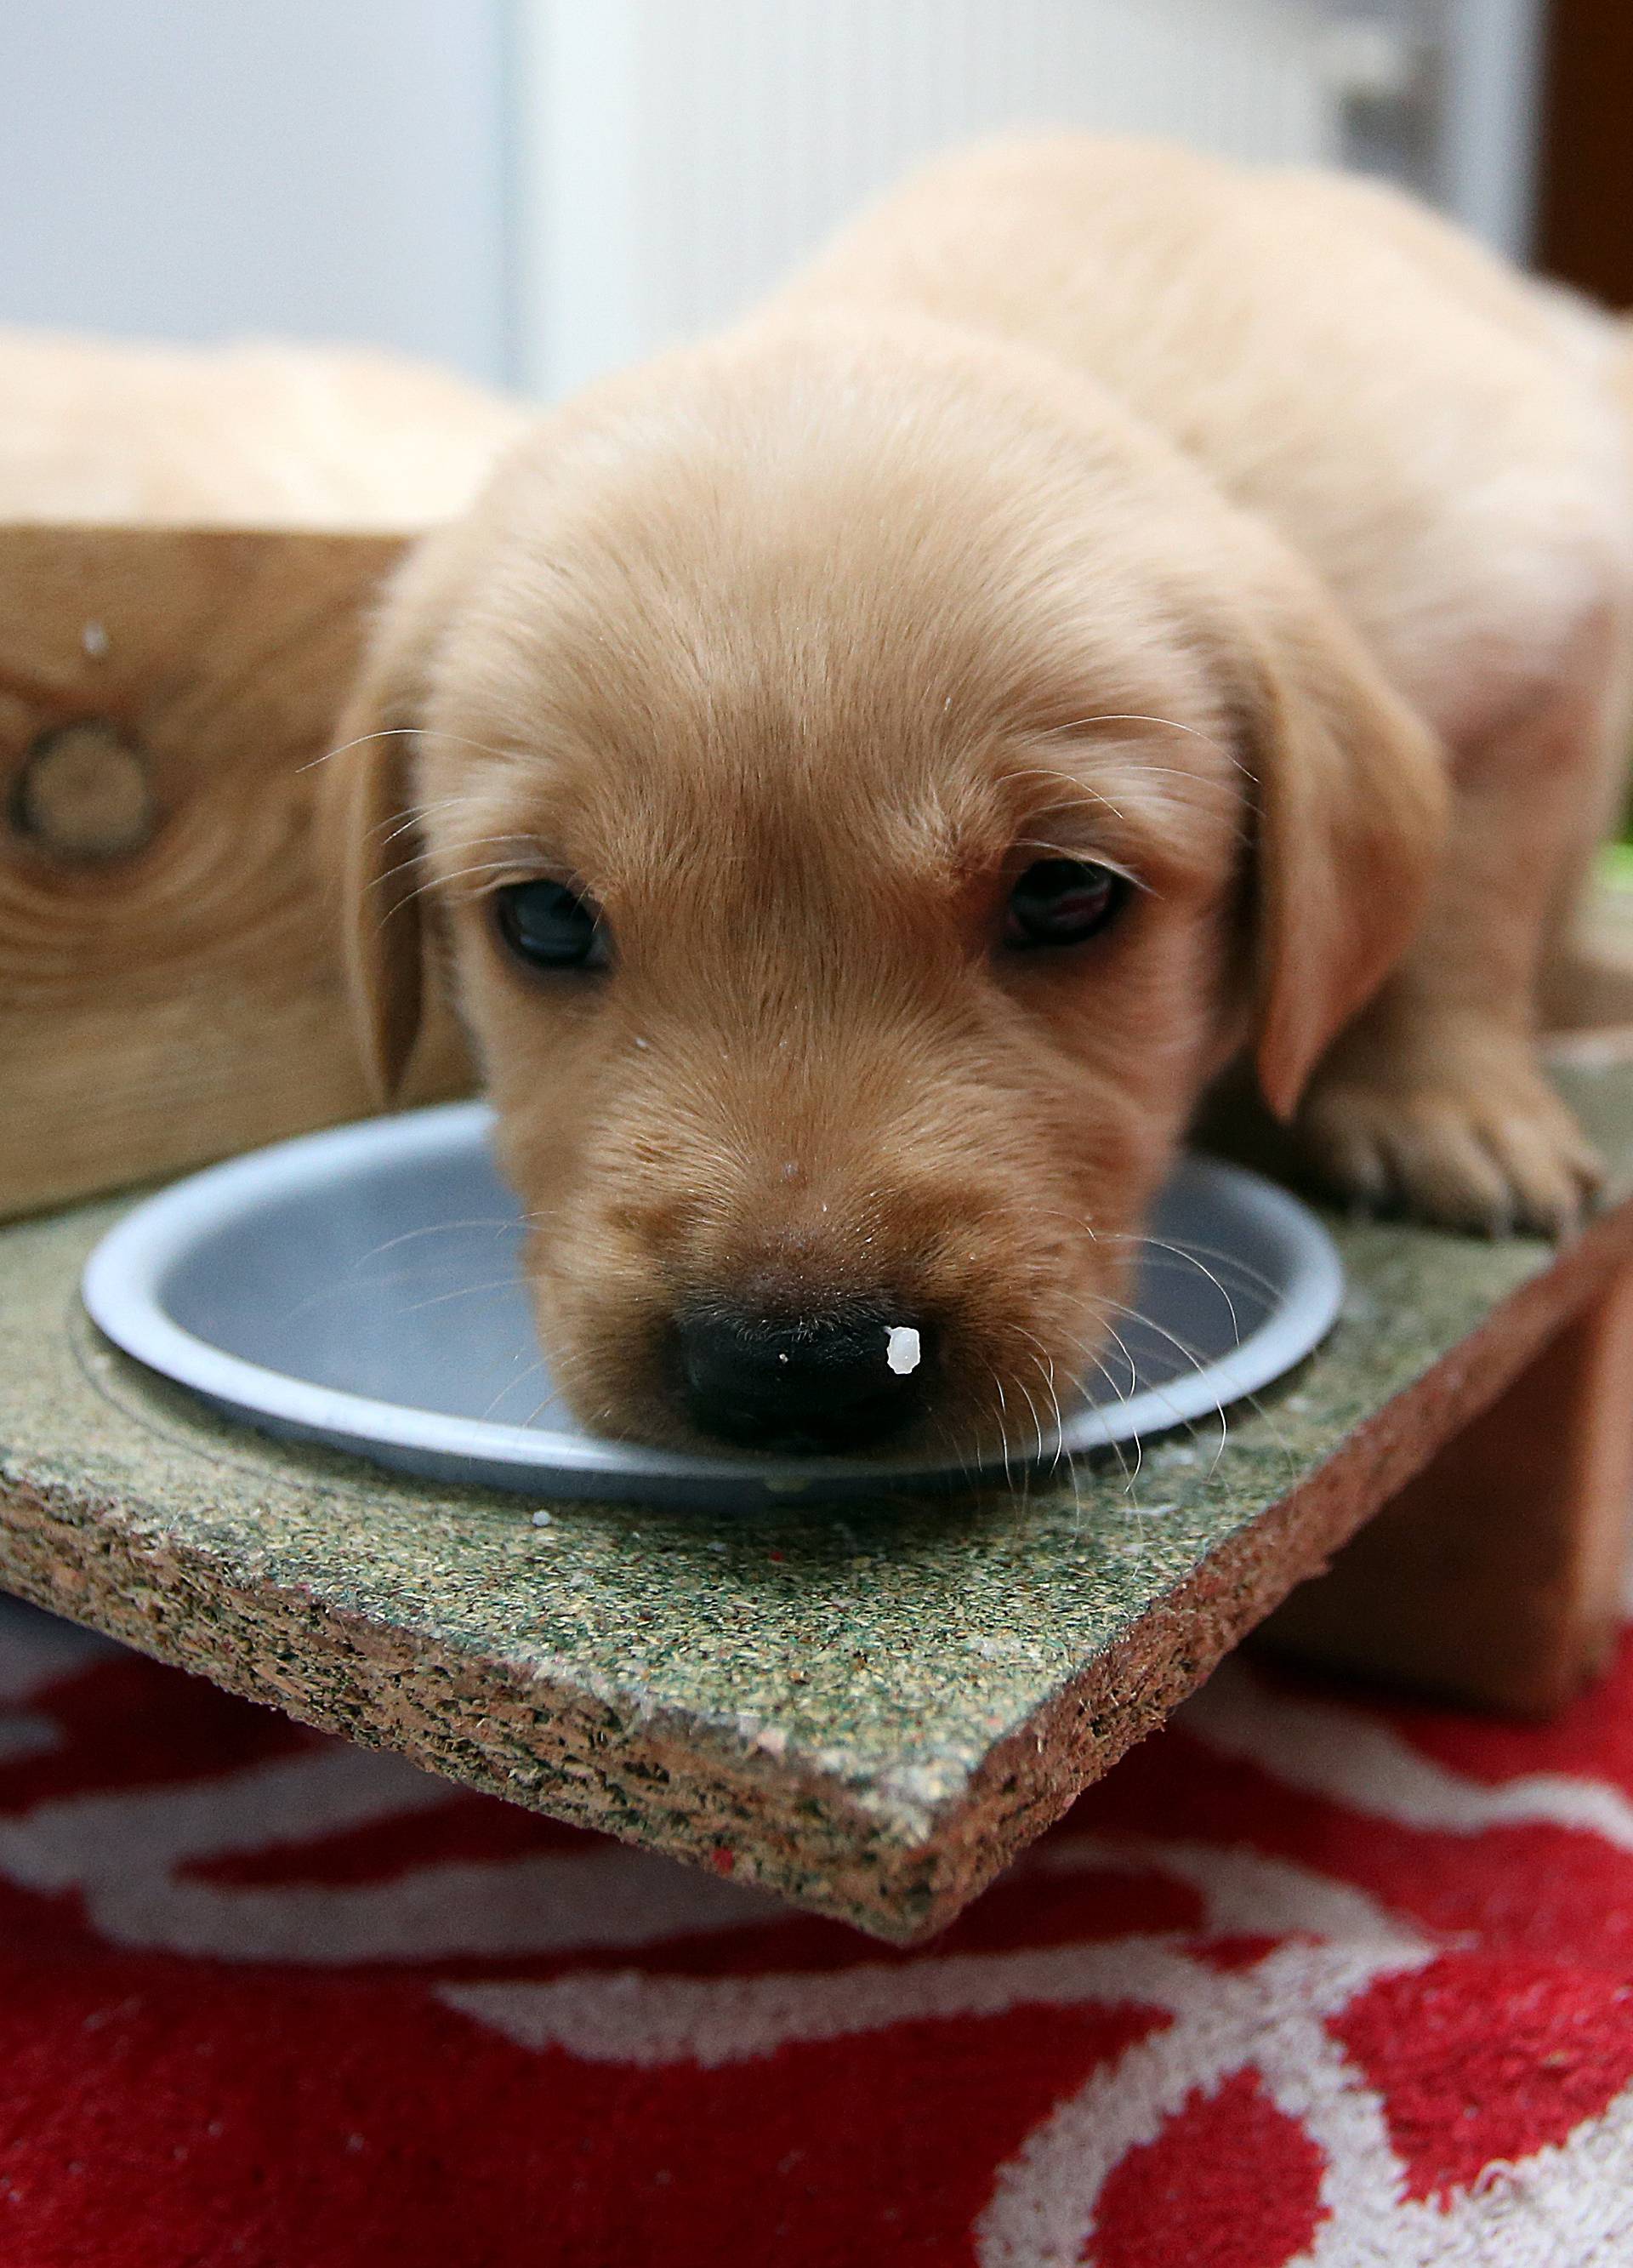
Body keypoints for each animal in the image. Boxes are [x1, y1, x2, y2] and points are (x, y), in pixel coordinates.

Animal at [331, 141, 1633, 1460]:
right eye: (543, 919)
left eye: (1066, 896)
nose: (794, 1370)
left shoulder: (1542, 614)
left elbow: (1465, 900)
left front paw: (1445, 1104)